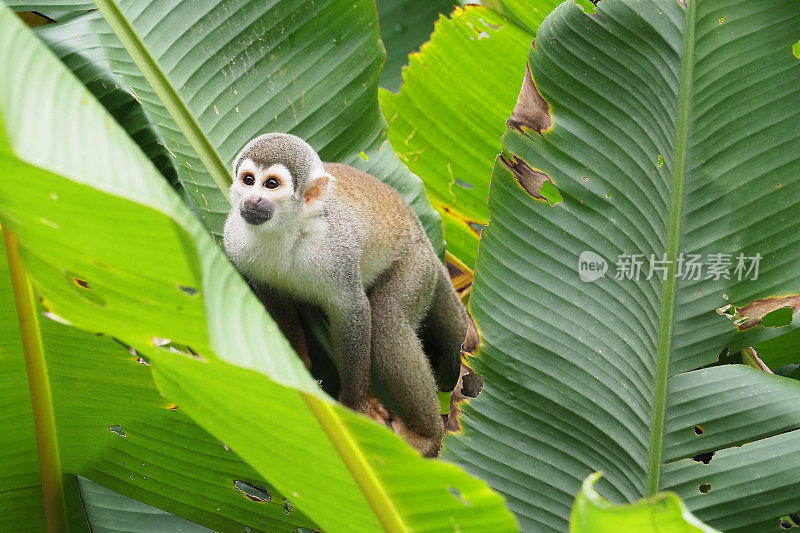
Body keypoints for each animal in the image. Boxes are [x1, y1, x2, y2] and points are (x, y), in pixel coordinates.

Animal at [222, 132, 468, 454]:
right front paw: (296, 361)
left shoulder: (335, 248)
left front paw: (357, 404)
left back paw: (427, 434)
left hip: (417, 266)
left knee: (388, 324)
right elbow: (272, 297)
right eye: (248, 180)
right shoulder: (236, 240)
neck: (287, 230)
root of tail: (424, 237)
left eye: (271, 184)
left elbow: (352, 309)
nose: (253, 199)